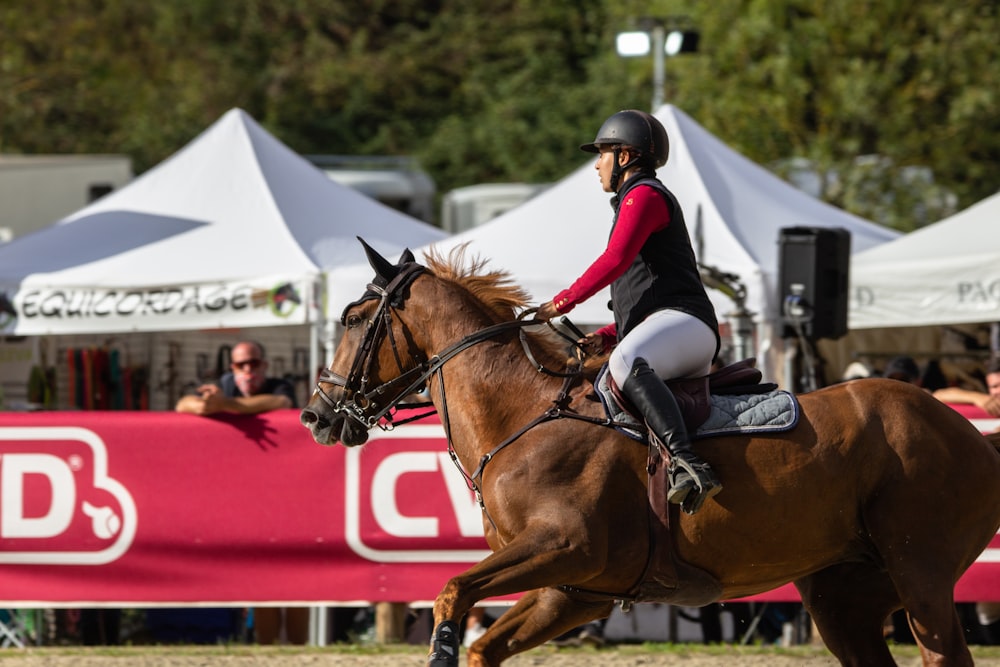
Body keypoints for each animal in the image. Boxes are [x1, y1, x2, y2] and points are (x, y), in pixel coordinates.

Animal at [300, 243, 1000, 664]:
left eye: (355, 319)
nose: (316, 416)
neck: (523, 416)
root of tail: (968, 431)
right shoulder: (574, 590)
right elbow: (482, 642)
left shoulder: (566, 548)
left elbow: (450, 593)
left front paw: (440, 645)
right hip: (845, 598)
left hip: (921, 579)